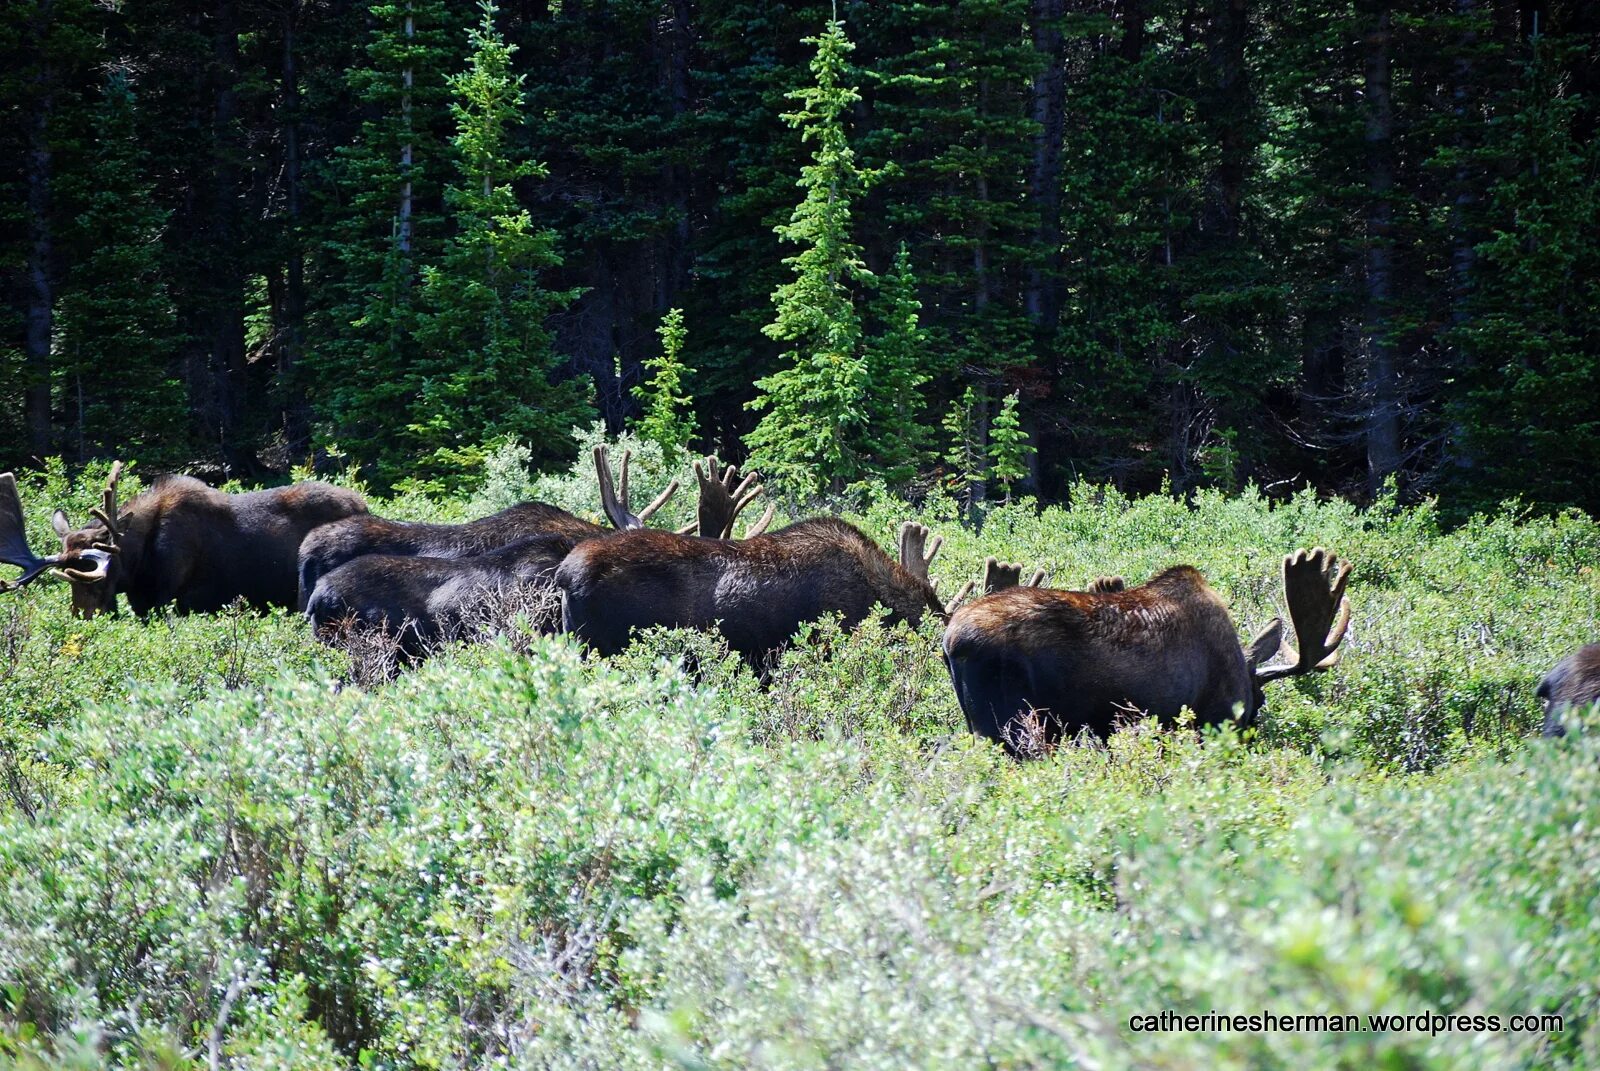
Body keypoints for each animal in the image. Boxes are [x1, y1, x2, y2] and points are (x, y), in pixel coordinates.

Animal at [0, 461, 366, 617]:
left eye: (97, 576)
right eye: (68, 581)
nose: (85, 618)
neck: (138, 565)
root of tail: (364, 503)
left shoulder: (176, 599)